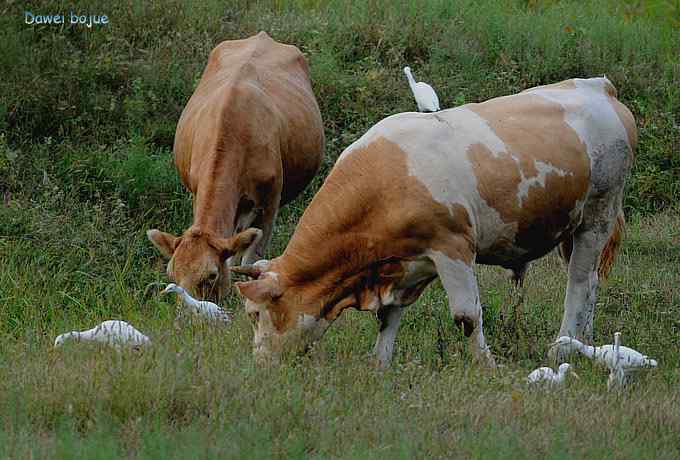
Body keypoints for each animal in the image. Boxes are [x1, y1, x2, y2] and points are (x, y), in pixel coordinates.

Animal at [145, 33, 324, 306]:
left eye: (211, 275)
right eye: (172, 274)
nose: (189, 311)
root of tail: (262, 36)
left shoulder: (270, 203)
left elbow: (251, 256)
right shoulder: (197, 191)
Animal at [231, 78, 636, 366]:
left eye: (254, 314)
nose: (259, 364)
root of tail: (599, 85)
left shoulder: (453, 248)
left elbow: (467, 316)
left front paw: (486, 366)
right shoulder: (403, 263)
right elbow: (388, 316)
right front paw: (379, 365)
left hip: (597, 215)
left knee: (579, 283)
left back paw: (562, 347)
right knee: (592, 283)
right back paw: (585, 343)